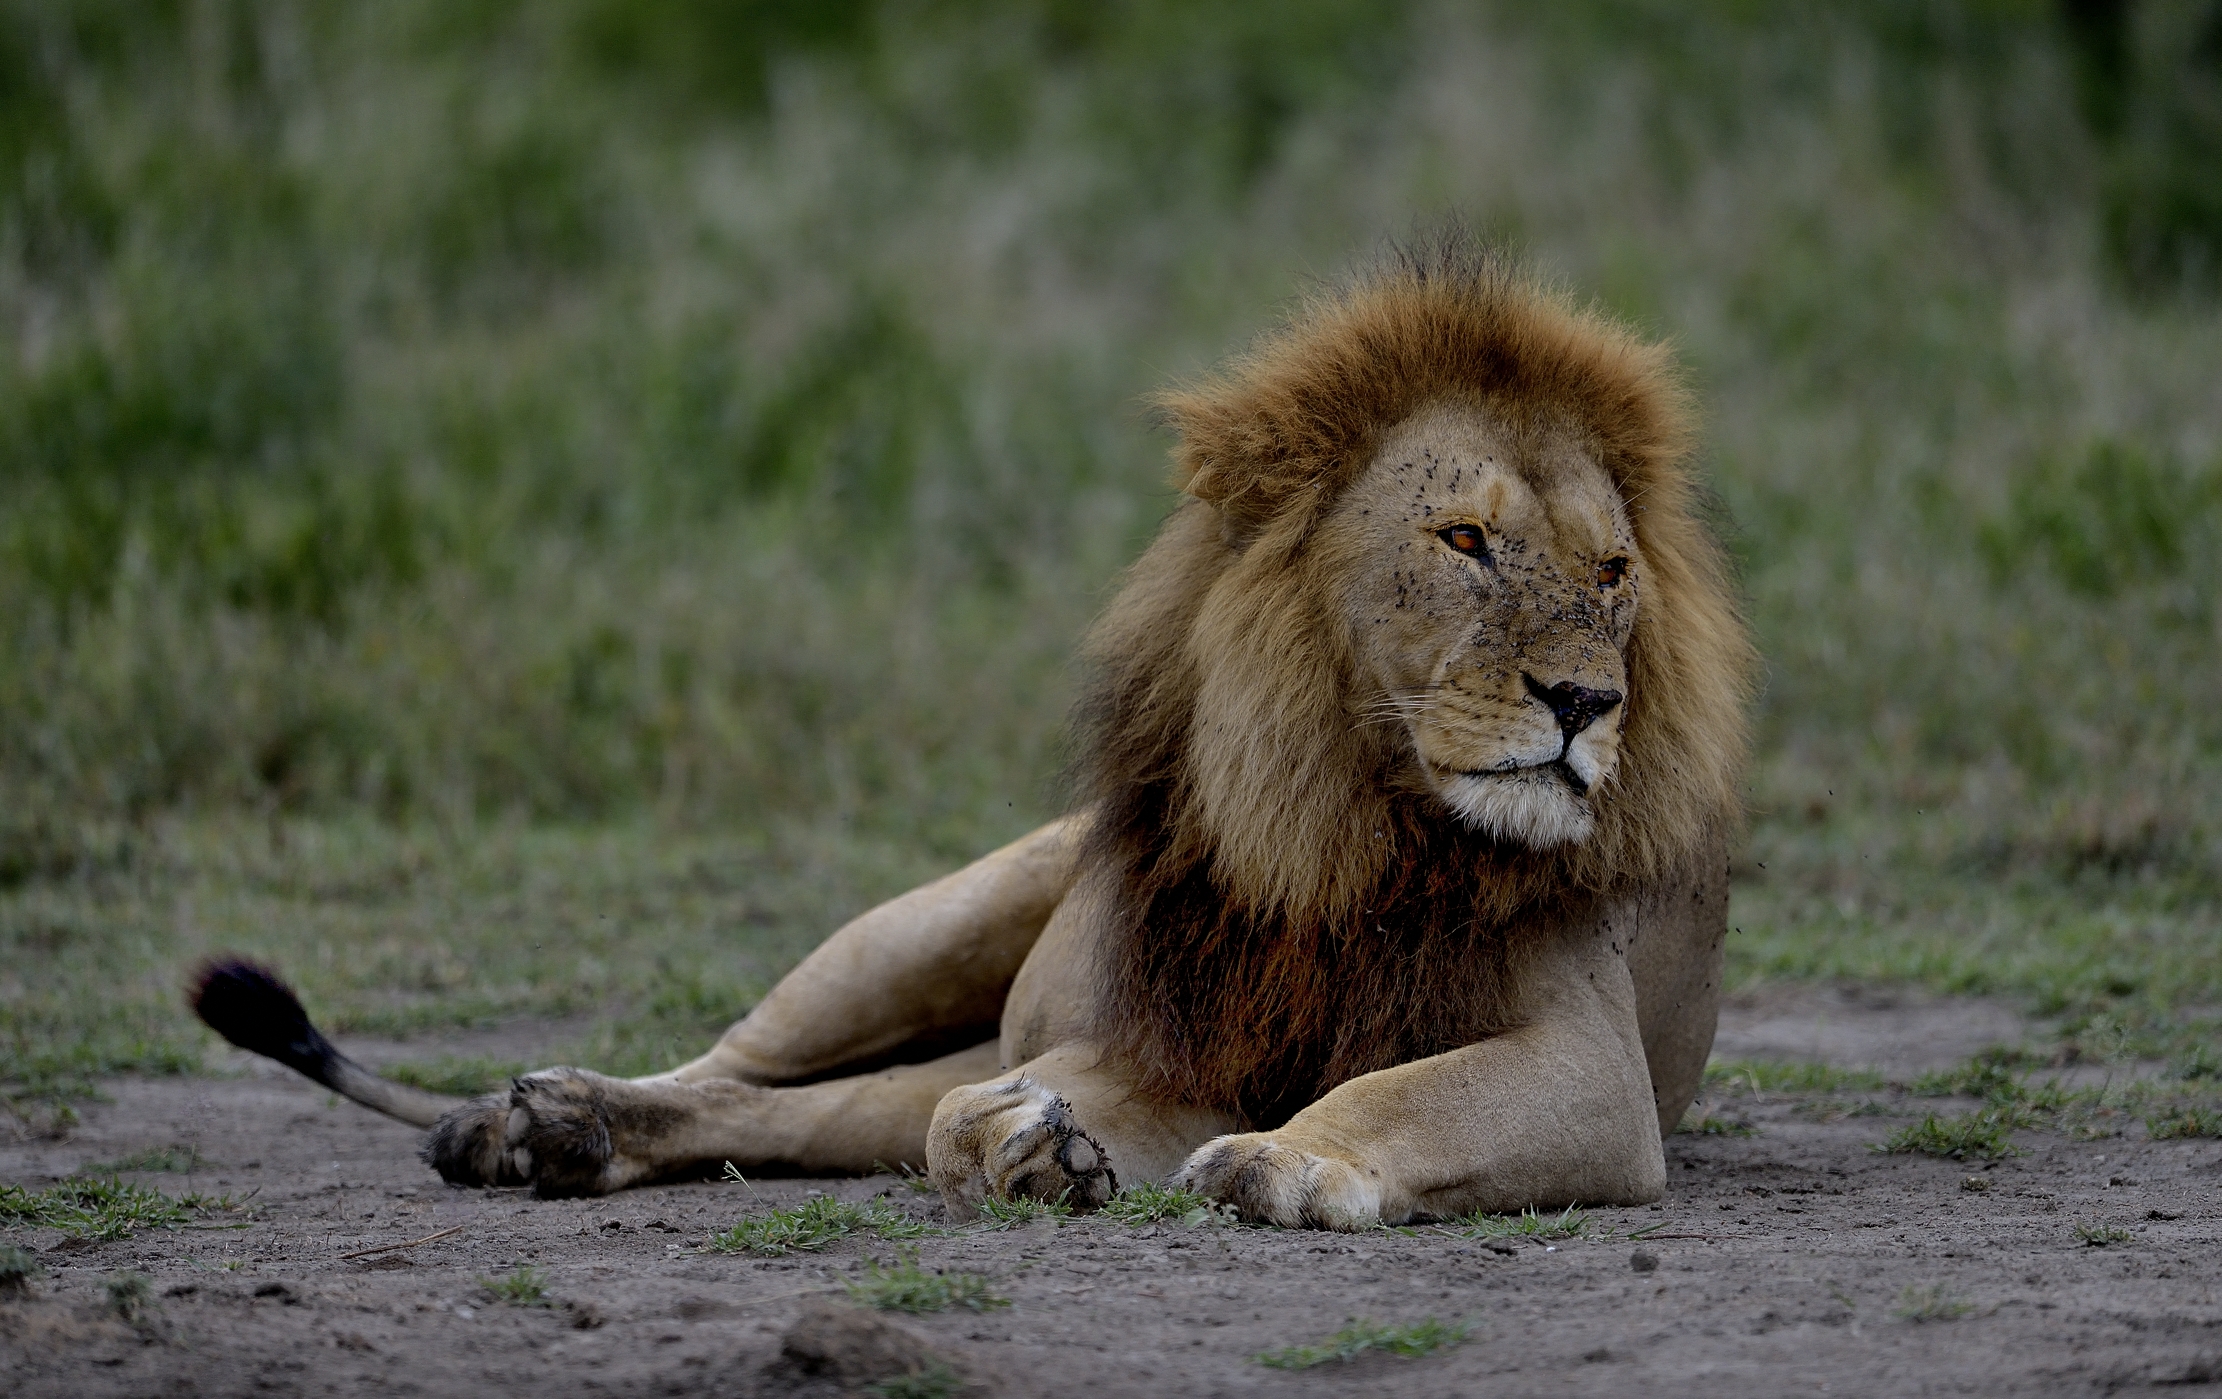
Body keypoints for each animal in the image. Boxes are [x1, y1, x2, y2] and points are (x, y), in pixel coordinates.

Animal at [193, 236, 1751, 1230]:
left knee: (813, 1114)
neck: (1348, 817)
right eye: (1465, 540)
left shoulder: (1591, 1070)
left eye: (1612, 571)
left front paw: (1280, 1162)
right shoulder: (1150, 1039)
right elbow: (962, 1113)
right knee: (747, 1067)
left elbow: (1401, 1089)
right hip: (924, 922)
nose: (1585, 703)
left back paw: (564, 1134)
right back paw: (522, 1115)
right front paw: (1031, 1145)